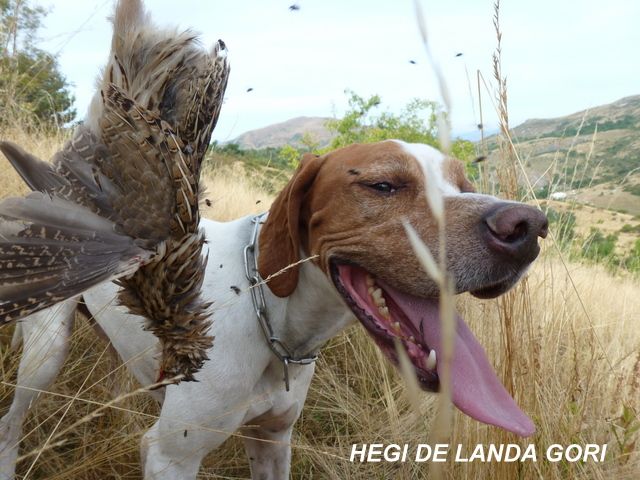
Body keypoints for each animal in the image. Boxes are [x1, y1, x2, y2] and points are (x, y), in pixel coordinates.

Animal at [1, 138, 544, 476]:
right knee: (11, 422)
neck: (269, 312)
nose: (529, 227)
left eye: (464, 185)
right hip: (46, 352)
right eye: (383, 186)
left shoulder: (272, 441)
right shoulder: (172, 456)